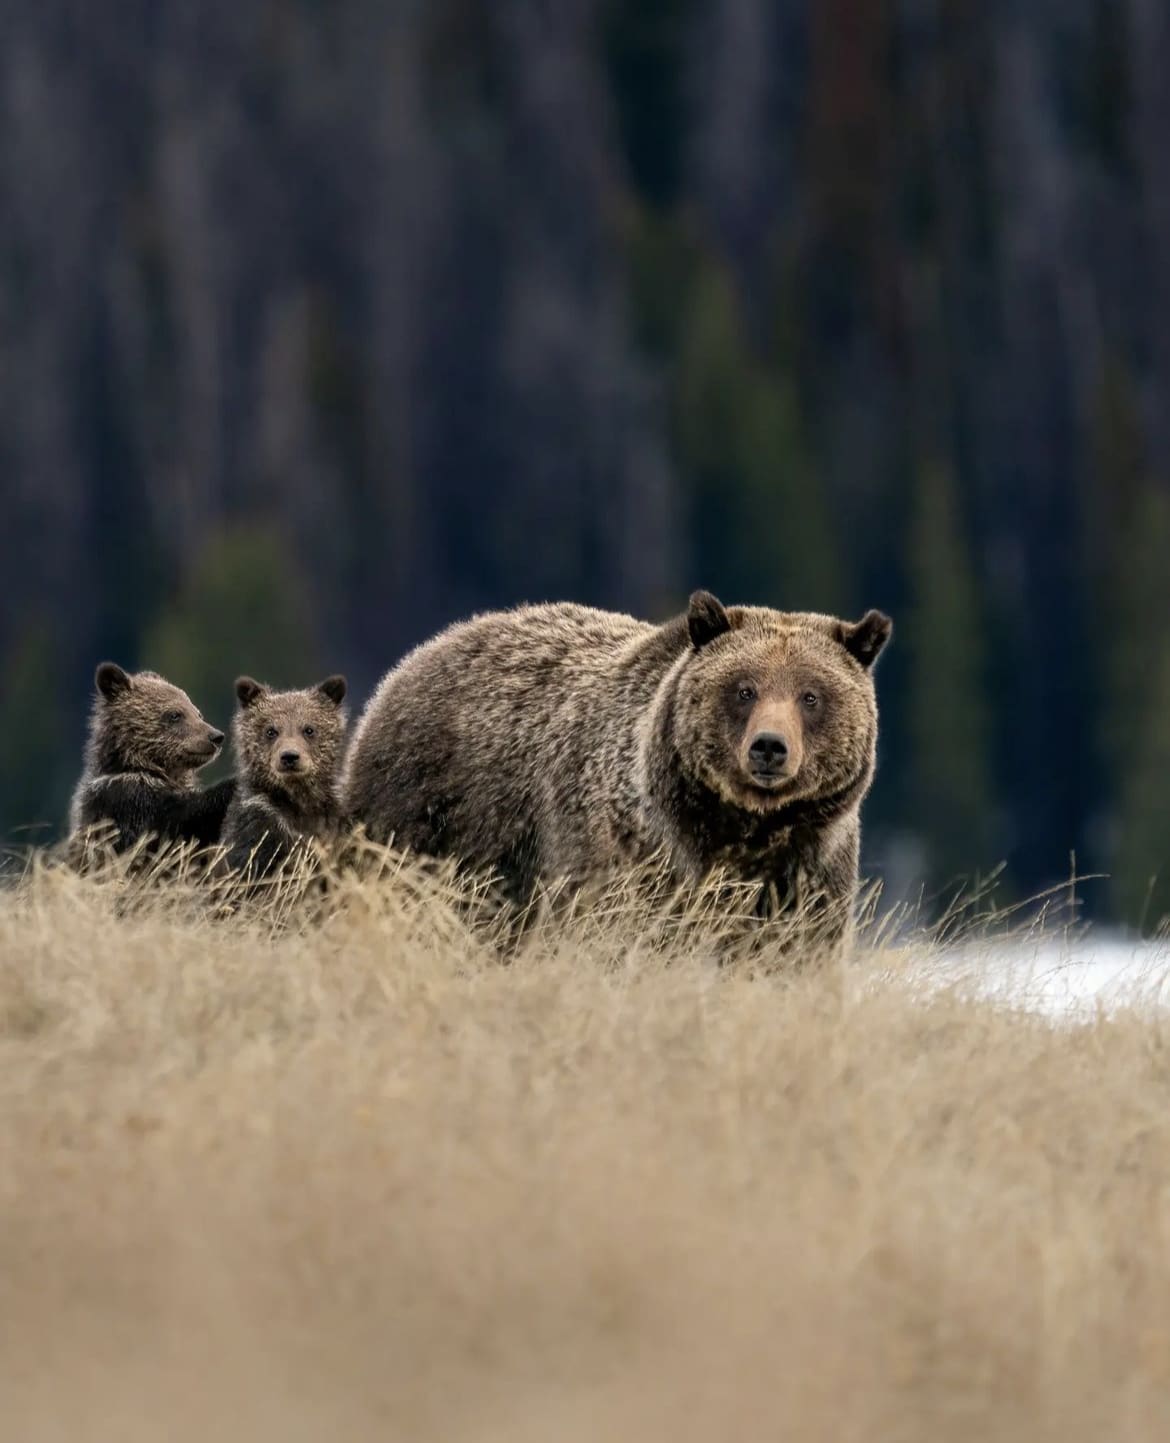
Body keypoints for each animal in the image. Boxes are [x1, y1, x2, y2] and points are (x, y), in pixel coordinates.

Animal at [343, 591, 894, 952]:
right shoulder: (631, 855)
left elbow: (792, 952)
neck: (743, 828)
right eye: (744, 689)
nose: (769, 748)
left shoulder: (809, 871)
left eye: (811, 695)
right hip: (434, 821)